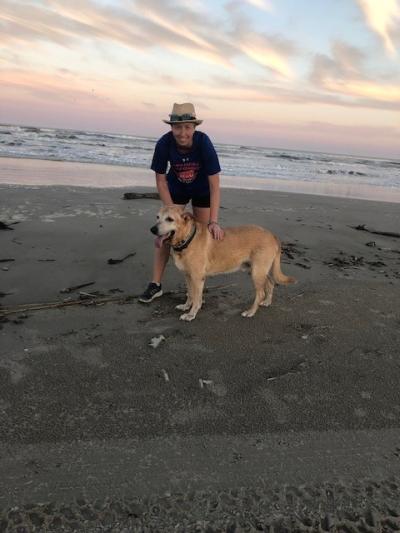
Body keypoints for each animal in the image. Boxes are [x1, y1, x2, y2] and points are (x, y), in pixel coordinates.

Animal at [152, 205, 296, 320]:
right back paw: (267, 301)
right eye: (157, 217)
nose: (152, 229)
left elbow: (197, 298)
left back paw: (251, 312)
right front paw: (186, 306)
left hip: (257, 272)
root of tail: (272, 235)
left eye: (170, 219)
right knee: (271, 282)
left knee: (260, 293)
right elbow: (191, 294)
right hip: (257, 270)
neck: (187, 240)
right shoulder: (188, 276)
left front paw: (191, 314)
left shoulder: (198, 278)